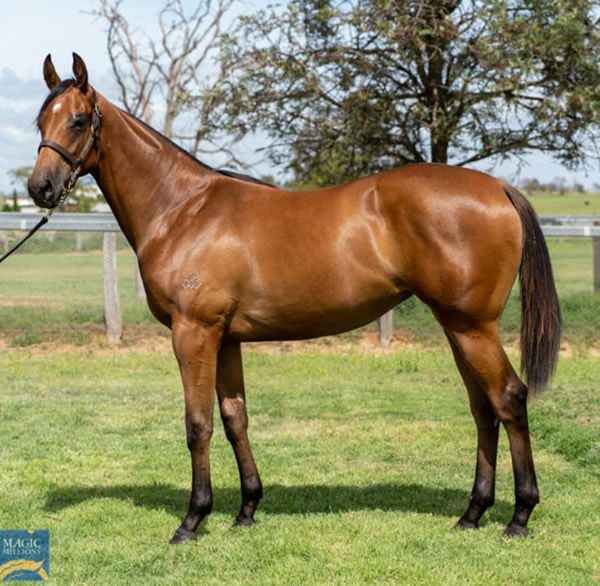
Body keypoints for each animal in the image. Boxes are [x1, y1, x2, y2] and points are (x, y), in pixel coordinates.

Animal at [29, 54, 564, 544]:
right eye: (41, 121)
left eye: (78, 120)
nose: (41, 188)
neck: (182, 209)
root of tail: (499, 187)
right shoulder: (226, 340)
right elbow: (235, 419)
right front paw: (246, 509)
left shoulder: (194, 334)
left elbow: (198, 424)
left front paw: (192, 520)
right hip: (457, 327)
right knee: (482, 407)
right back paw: (472, 513)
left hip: (473, 327)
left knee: (509, 398)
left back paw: (519, 516)